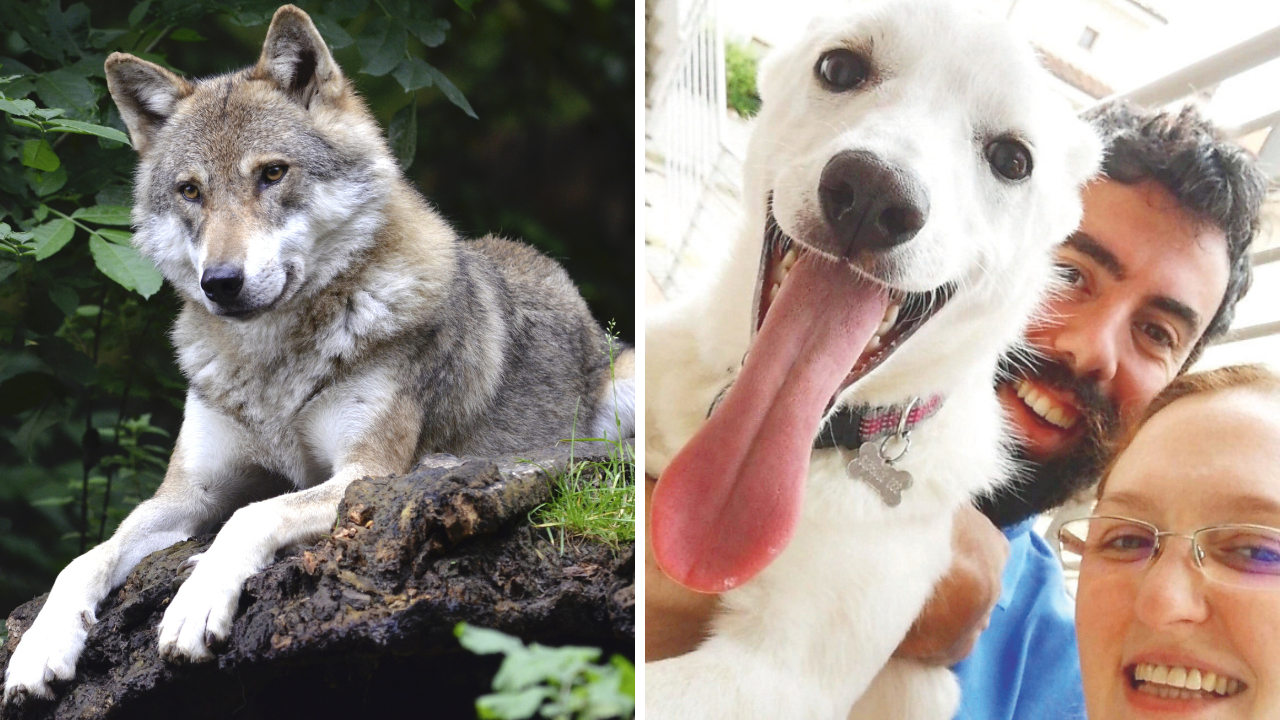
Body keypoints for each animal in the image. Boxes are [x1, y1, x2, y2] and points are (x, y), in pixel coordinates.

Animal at [3, 4, 633, 704]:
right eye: (191, 191)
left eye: (272, 173)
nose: (220, 282)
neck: (272, 365)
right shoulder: (188, 493)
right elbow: (86, 557)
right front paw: (40, 646)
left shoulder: (364, 475)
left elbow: (250, 515)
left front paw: (195, 602)